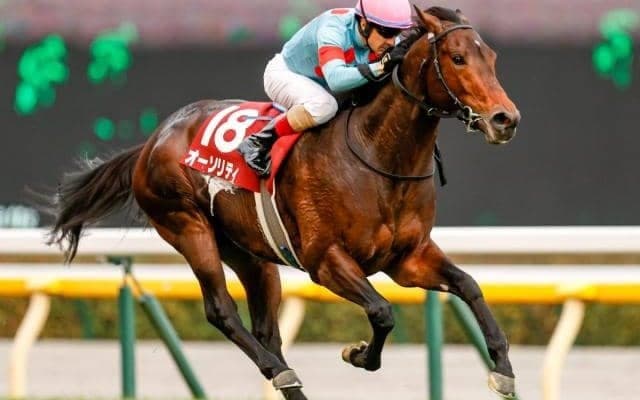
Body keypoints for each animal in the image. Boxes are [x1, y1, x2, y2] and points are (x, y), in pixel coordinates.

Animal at [49, 6, 520, 400]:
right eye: (457, 58)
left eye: (493, 57)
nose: (505, 119)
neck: (378, 157)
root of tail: (152, 140)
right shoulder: (325, 260)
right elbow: (382, 311)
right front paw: (358, 354)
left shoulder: (409, 258)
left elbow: (469, 285)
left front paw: (503, 370)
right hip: (188, 226)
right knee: (222, 311)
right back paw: (279, 371)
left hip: (250, 253)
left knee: (266, 328)